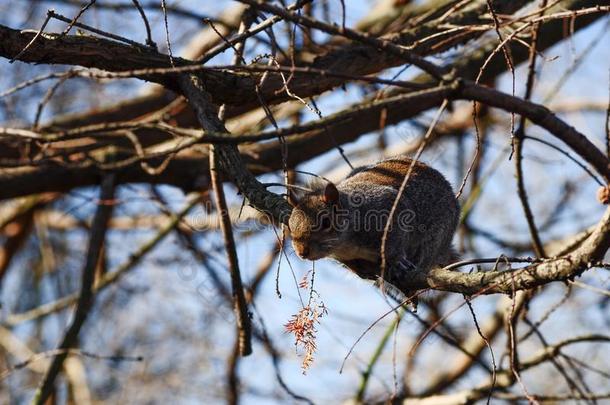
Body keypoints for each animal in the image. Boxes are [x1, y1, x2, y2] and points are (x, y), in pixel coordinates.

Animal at [288, 155, 458, 304]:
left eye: (326, 222)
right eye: (290, 225)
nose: (302, 252)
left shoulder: (389, 211)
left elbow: (394, 246)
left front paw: (396, 261)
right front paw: (356, 269)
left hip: (435, 239)